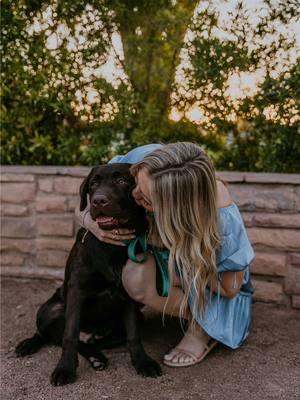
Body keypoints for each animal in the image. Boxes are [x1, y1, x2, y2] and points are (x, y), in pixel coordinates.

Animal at [15, 162, 162, 384]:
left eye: (122, 181)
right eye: (93, 184)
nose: (98, 200)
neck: (111, 247)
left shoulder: (129, 296)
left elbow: (133, 335)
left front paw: (142, 361)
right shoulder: (77, 291)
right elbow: (69, 335)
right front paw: (65, 368)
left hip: (131, 318)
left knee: (96, 340)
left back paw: (97, 352)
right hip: (49, 309)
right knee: (52, 335)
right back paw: (29, 345)